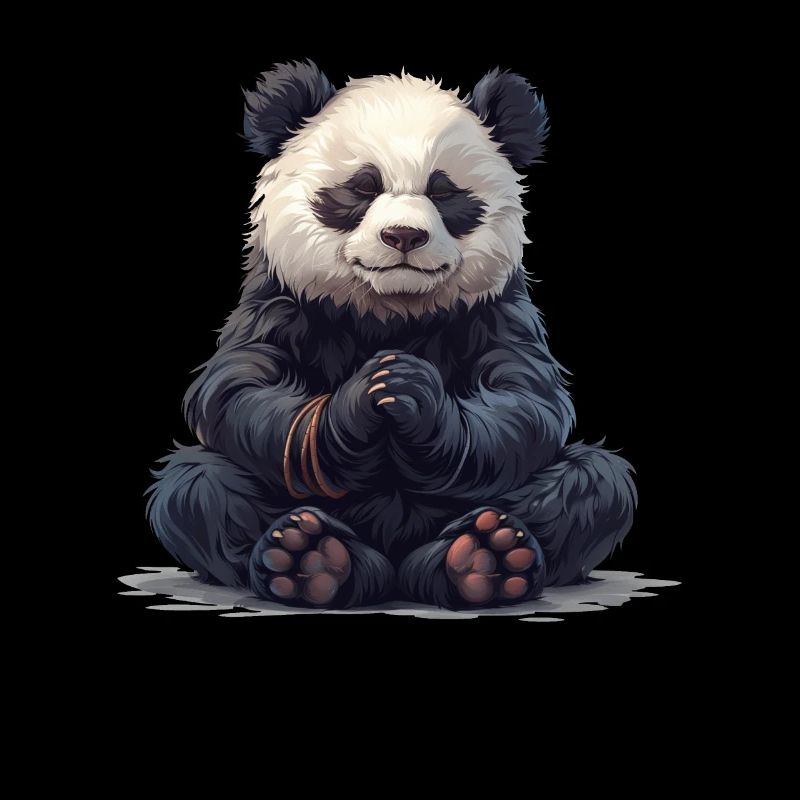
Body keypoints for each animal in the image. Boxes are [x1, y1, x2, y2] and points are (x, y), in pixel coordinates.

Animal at [146, 61, 637, 610]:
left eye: (443, 192)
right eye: (363, 187)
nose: (404, 235)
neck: (390, 308)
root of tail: (396, 565)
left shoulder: (495, 310)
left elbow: (526, 404)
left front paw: (411, 390)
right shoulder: (281, 301)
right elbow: (238, 392)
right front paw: (362, 398)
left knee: (594, 482)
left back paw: (477, 560)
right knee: (196, 486)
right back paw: (316, 561)